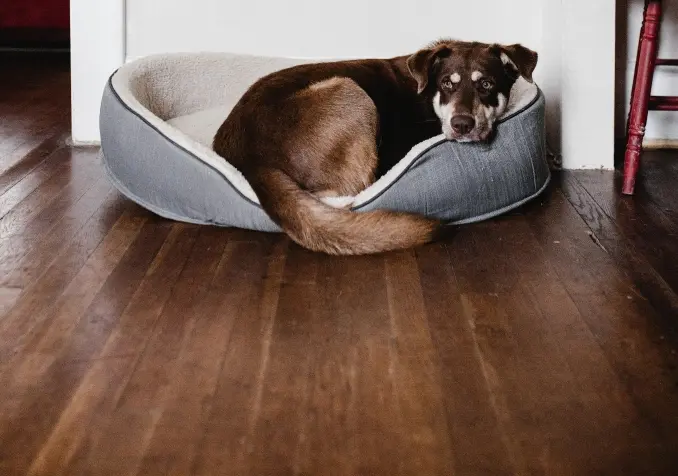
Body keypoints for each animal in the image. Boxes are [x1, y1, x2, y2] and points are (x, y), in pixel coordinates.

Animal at [212, 39, 536, 255]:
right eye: (447, 83)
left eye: (486, 84)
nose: (462, 124)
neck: (428, 95)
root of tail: (250, 159)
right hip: (350, 91)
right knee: (351, 191)